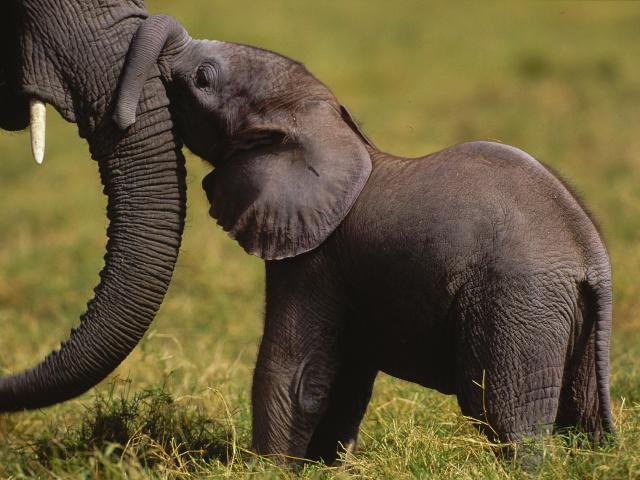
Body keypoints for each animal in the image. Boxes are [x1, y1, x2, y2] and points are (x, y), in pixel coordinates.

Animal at [110, 15, 616, 464]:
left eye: (203, 78)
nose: (122, 115)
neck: (328, 126)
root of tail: (590, 254)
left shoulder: (315, 259)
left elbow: (292, 374)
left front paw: (271, 469)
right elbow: (346, 379)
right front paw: (325, 466)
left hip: (518, 301)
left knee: (502, 413)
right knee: (582, 416)